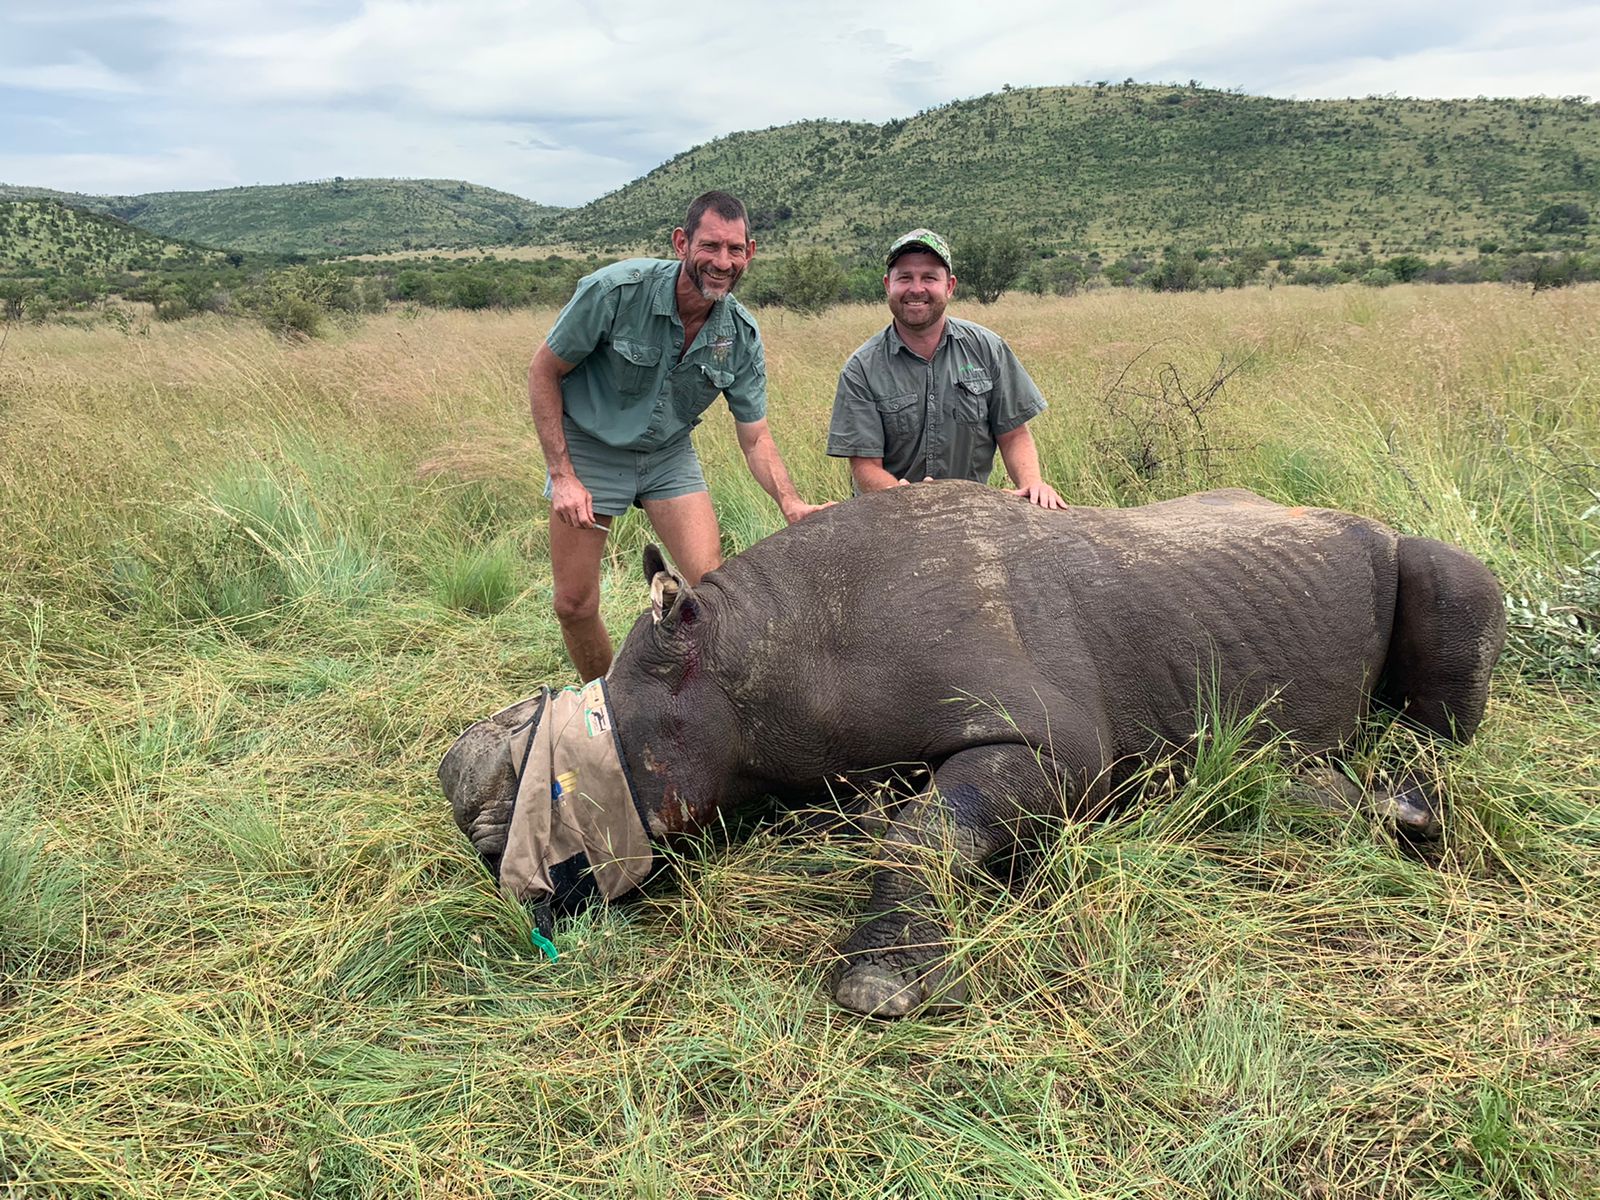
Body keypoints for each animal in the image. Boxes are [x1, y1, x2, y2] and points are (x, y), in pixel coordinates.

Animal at [440, 483, 1505, 1017]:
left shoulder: (1066, 748)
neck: (757, 652)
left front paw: (876, 986)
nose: (479, 840)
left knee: (1450, 595)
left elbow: (926, 825)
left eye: (559, 785)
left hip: (1408, 558)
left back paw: (1402, 794)